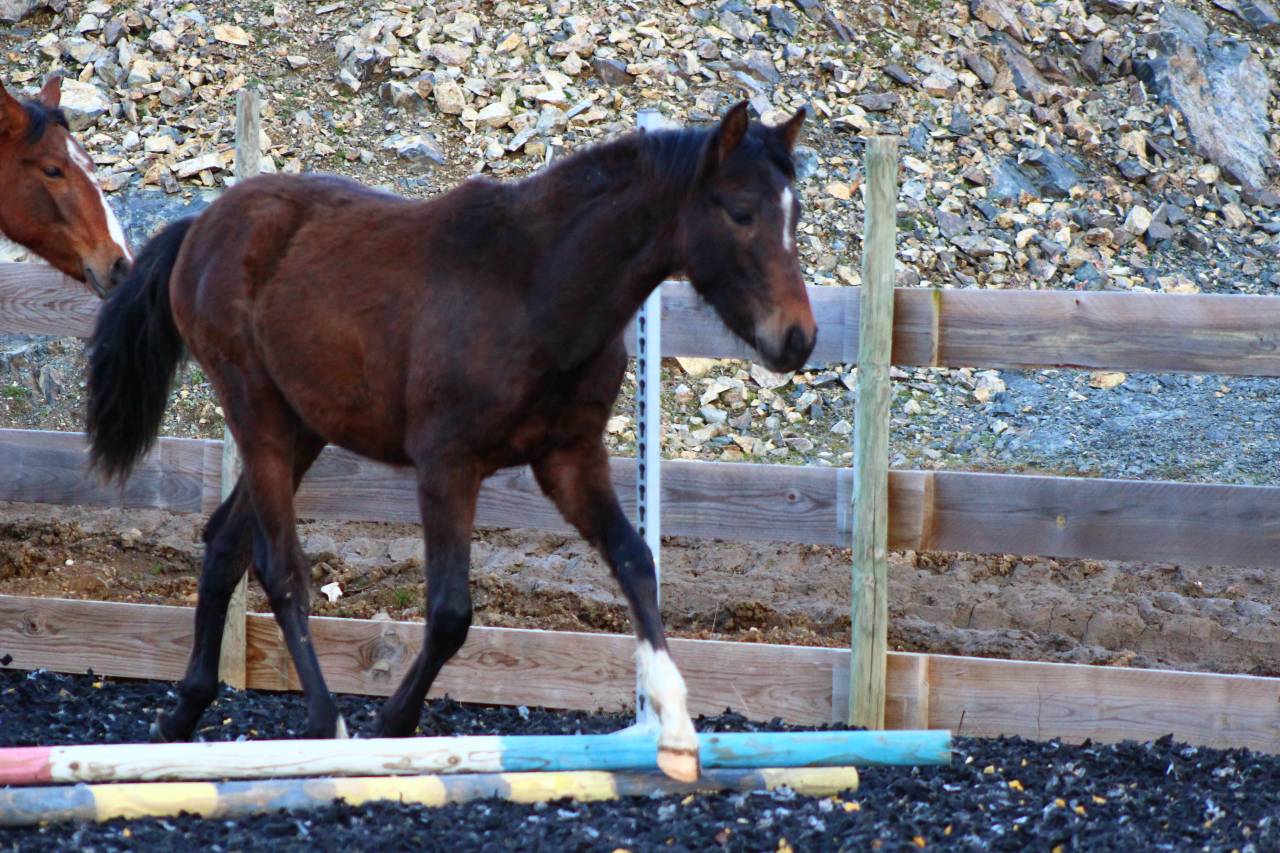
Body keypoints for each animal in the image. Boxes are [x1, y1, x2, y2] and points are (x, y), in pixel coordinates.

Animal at [85, 101, 815, 782]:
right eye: (741, 212)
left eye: (794, 214)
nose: (798, 338)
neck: (535, 289)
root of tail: (202, 225)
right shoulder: (447, 465)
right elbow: (449, 613)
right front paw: (390, 728)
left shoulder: (570, 459)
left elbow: (636, 563)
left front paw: (678, 733)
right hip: (256, 411)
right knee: (280, 567)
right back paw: (328, 729)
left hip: (302, 427)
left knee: (224, 544)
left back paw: (182, 714)